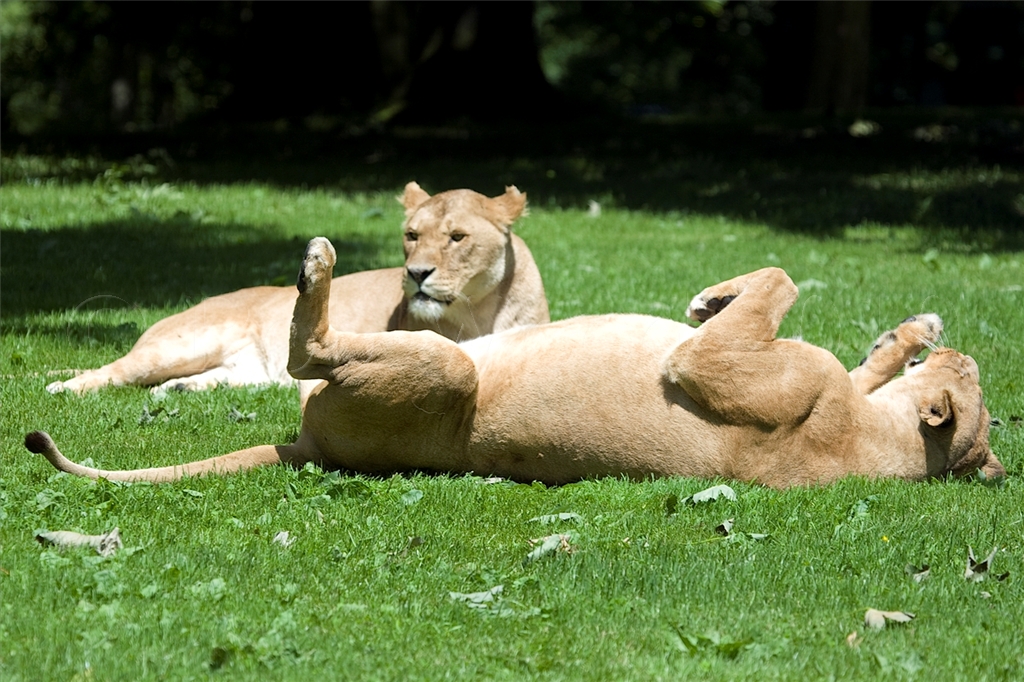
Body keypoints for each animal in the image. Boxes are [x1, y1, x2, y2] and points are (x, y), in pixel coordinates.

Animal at [26, 238, 1005, 489]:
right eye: (979, 380)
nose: (965, 351)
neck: (885, 446)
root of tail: (316, 452)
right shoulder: (814, 373)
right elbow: (824, 325)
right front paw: (913, 330)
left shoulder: (714, 370)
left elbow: (778, 279)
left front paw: (708, 299)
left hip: (443, 364)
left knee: (310, 348)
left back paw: (318, 266)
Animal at [45, 182, 549, 408]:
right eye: (411, 235)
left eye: (457, 238)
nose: (416, 273)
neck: (480, 310)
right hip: (178, 346)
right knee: (114, 371)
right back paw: (63, 387)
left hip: (246, 374)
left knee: (194, 381)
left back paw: (181, 389)